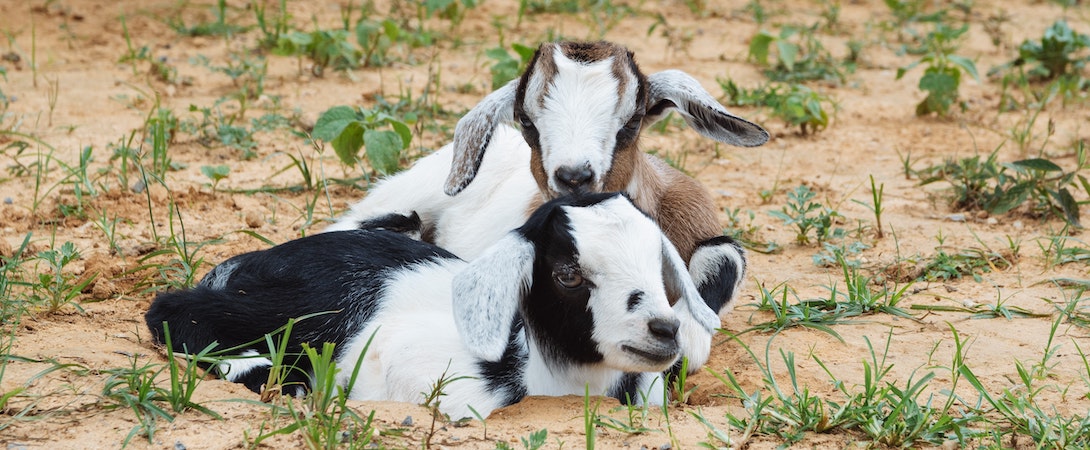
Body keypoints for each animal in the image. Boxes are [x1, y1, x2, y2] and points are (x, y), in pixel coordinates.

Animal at [145, 192, 720, 419]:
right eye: (568, 274)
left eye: (658, 262)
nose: (663, 329)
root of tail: (246, 262)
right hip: (290, 307)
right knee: (174, 311)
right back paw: (268, 374)